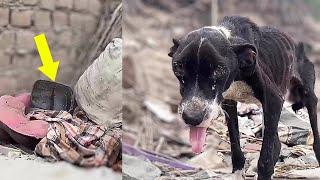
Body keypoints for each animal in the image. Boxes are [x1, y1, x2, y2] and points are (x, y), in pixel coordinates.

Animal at [168, 16, 320, 179]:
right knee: (277, 143)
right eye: (178, 66)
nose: (192, 118)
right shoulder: (229, 103)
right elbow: (235, 143)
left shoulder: (274, 99)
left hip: (307, 95)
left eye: (219, 69)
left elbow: (265, 157)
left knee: (313, 133)